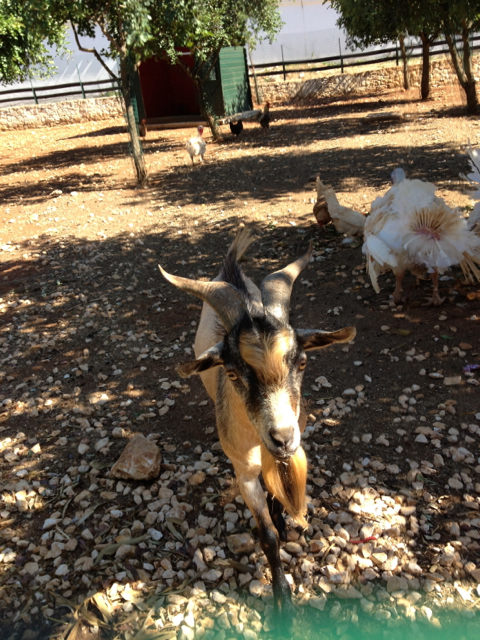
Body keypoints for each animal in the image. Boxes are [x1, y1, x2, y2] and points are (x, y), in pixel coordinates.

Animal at [159, 228, 354, 628]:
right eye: (233, 373)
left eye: (303, 362)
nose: (283, 437)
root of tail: (231, 269)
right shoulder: (243, 472)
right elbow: (266, 536)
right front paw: (282, 601)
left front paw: (281, 519)